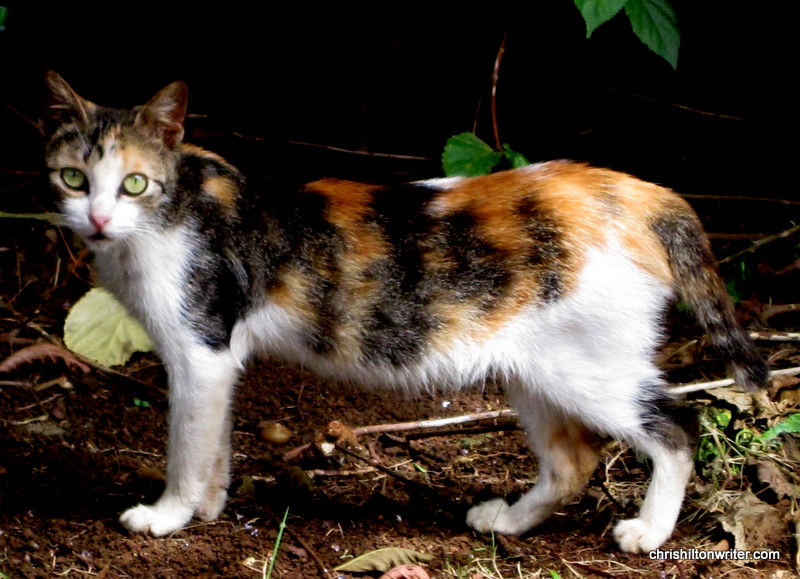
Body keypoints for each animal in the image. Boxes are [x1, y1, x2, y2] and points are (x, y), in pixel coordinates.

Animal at [42, 71, 769, 553]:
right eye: (73, 179)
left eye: (134, 182)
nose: (98, 219)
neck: (173, 206)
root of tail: (631, 190)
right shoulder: (220, 357)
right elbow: (213, 440)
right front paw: (212, 508)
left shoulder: (199, 346)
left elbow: (185, 447)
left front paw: (167, 516)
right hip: (535, 370)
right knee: (573, 462)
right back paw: (505, 522)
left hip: (593, 371)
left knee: (678, 426)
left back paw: (647, 531)